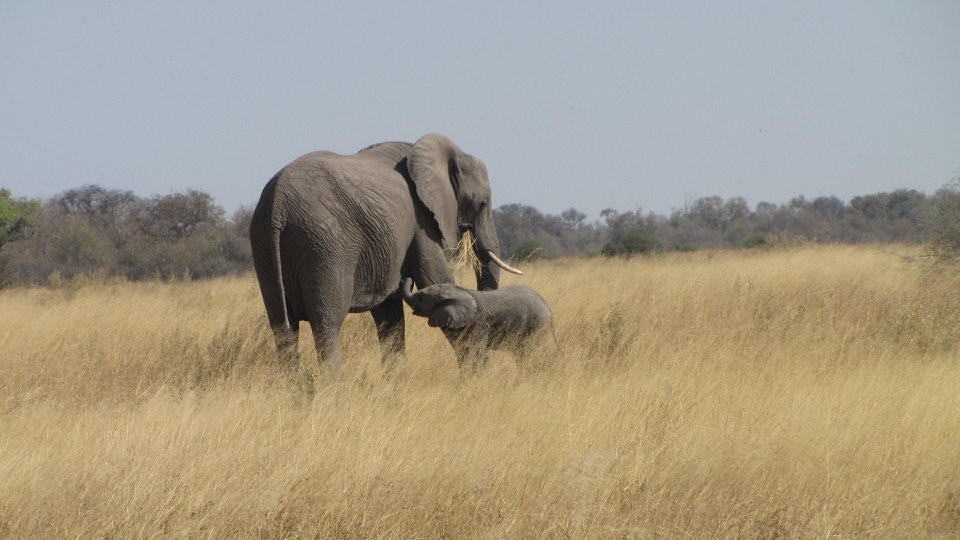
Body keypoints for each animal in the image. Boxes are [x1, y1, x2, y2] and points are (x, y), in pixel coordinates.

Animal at [248, 133, 516, 374]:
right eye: (482, 203)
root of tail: (277, 204)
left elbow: (389, 315)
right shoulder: (421, 222)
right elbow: (435, 279)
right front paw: (476, 374)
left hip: (263, 245)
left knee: (283, 326)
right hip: (324, 246)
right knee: (326, 323)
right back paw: (335, 388)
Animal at [402, 278, 556, 372]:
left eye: (421, 298)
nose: (406, 278)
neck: (462, 291)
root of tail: (547, 306)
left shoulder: (479, 323)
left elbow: (475, 353)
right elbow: (463, 352)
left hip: (536, 325)